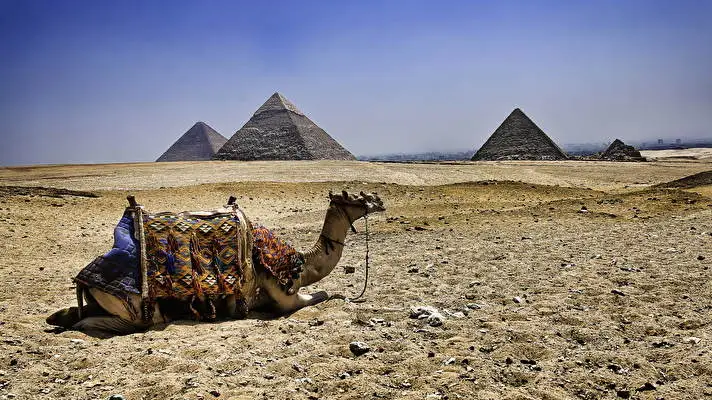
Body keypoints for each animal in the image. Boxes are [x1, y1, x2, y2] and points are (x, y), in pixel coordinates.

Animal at [46, 190, 385, 334]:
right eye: (356, 198)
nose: (379, 201)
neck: (301, 262)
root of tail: (84, 278)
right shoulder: (283, 294)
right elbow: (321, 294)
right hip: (139, 308)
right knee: (124, 322)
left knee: (74, 312)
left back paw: (59, 317)